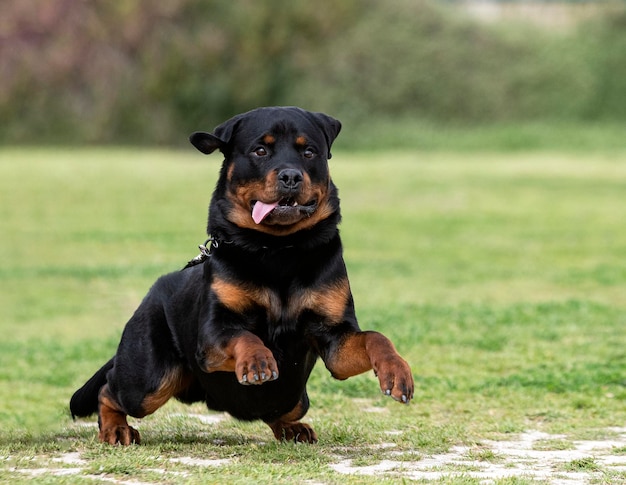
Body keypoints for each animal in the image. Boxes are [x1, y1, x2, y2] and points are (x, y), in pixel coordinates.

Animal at [68, 106, 412, 442]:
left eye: (309, 152)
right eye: (260, 150)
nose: (290, 175)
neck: (278, 250)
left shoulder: (334, 338)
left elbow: (375, 337)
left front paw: (397, 370)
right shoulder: (212, 334)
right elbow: (244, 335)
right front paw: (258, 359)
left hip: (295, 399)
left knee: (276, 410)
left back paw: (293, 429)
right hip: (149, 380)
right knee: (109, 389)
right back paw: (116, 429)